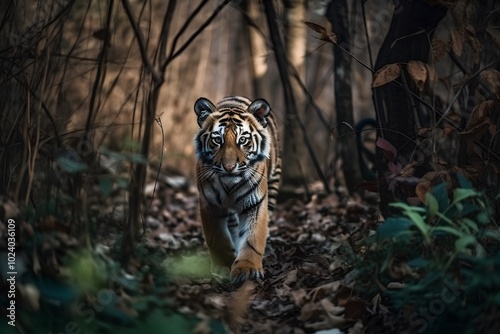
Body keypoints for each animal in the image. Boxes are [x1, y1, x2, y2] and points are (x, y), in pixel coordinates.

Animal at [193, 95, 282, 286]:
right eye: (217, 140)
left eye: (243, 140)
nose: (229, 167)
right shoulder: (209, 203)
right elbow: (217, 237)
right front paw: (223, 266)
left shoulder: (256, 203)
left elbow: (253, 238)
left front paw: (247, 271)